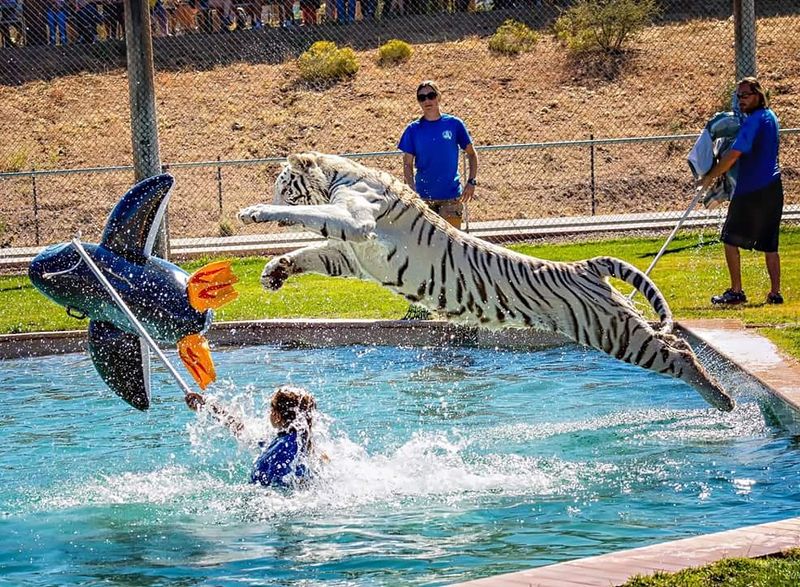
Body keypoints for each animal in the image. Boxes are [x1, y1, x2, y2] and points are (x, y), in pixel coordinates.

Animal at [238, 152, 734, 412]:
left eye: (283, 181)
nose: (272, 189)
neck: (338, 177)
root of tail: (586, 265)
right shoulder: (351, 255)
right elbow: (311, 251)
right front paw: (274, 271)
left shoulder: (357, 224)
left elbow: (313, 219)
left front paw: (256, 211)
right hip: (617, 324)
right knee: (677, 343)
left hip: (613, 332)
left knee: (678, 353)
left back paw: (723, 399)